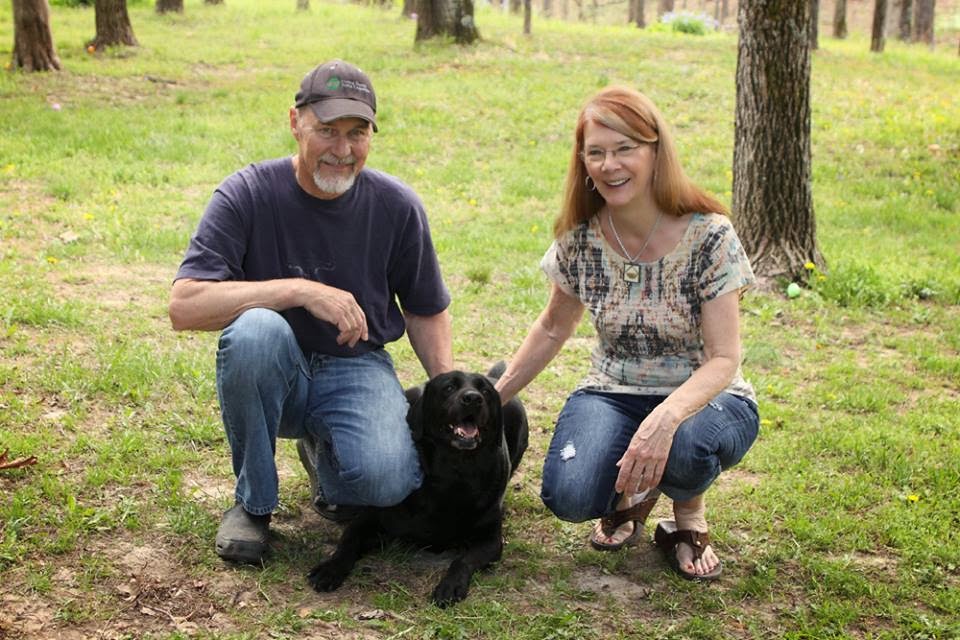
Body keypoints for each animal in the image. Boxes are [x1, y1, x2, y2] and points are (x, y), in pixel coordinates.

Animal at [306, 364, 528, 607]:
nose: (473, 398)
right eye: (449, 387)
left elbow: (463, 560)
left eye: (485, 392)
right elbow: (348, 540)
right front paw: (331, 568)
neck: (453, 472)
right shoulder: (369, 521)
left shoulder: (490, 541)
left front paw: (450, 585)